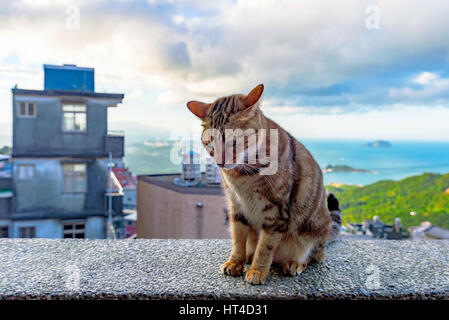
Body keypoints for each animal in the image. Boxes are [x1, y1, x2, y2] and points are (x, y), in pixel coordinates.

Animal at [186, 84, 340, 284]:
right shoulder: (235, 205)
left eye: (233, 142)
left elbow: (265, 246)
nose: (219, 163)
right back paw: (248, 256)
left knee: (315, 255)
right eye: (209, 144)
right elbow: (238, 238)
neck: (241, 175)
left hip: (315, 230)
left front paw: (257, 270)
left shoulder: (276, 211)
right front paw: (235, 261)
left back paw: (294, 263)